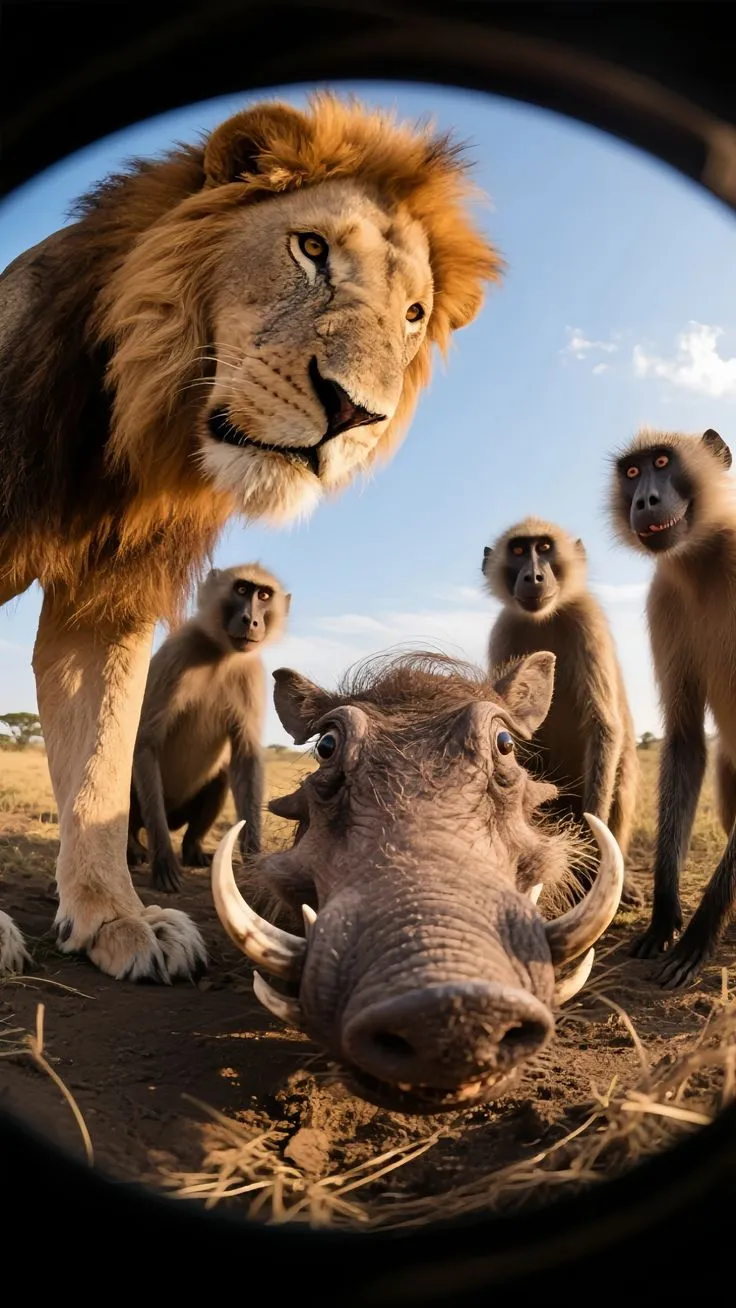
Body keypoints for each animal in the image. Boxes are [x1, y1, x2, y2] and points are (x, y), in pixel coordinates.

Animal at [128, 563, 290, 894]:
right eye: (241, 589)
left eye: (264, 596)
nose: (250, 620)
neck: (221, 654)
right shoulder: (178, 653)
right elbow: (145, 743)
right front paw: (162, 858)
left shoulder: (251, 673)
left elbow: (245, 756)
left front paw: (254, 862)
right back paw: (134, 846)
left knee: (222, 775)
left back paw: (193, 848)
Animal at [482, 517, 641, 908]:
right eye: (518, 550)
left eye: (544, 548)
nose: (534, 576)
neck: (544, 618)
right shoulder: (505, 630)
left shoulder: (586, 620)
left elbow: (603, 725)